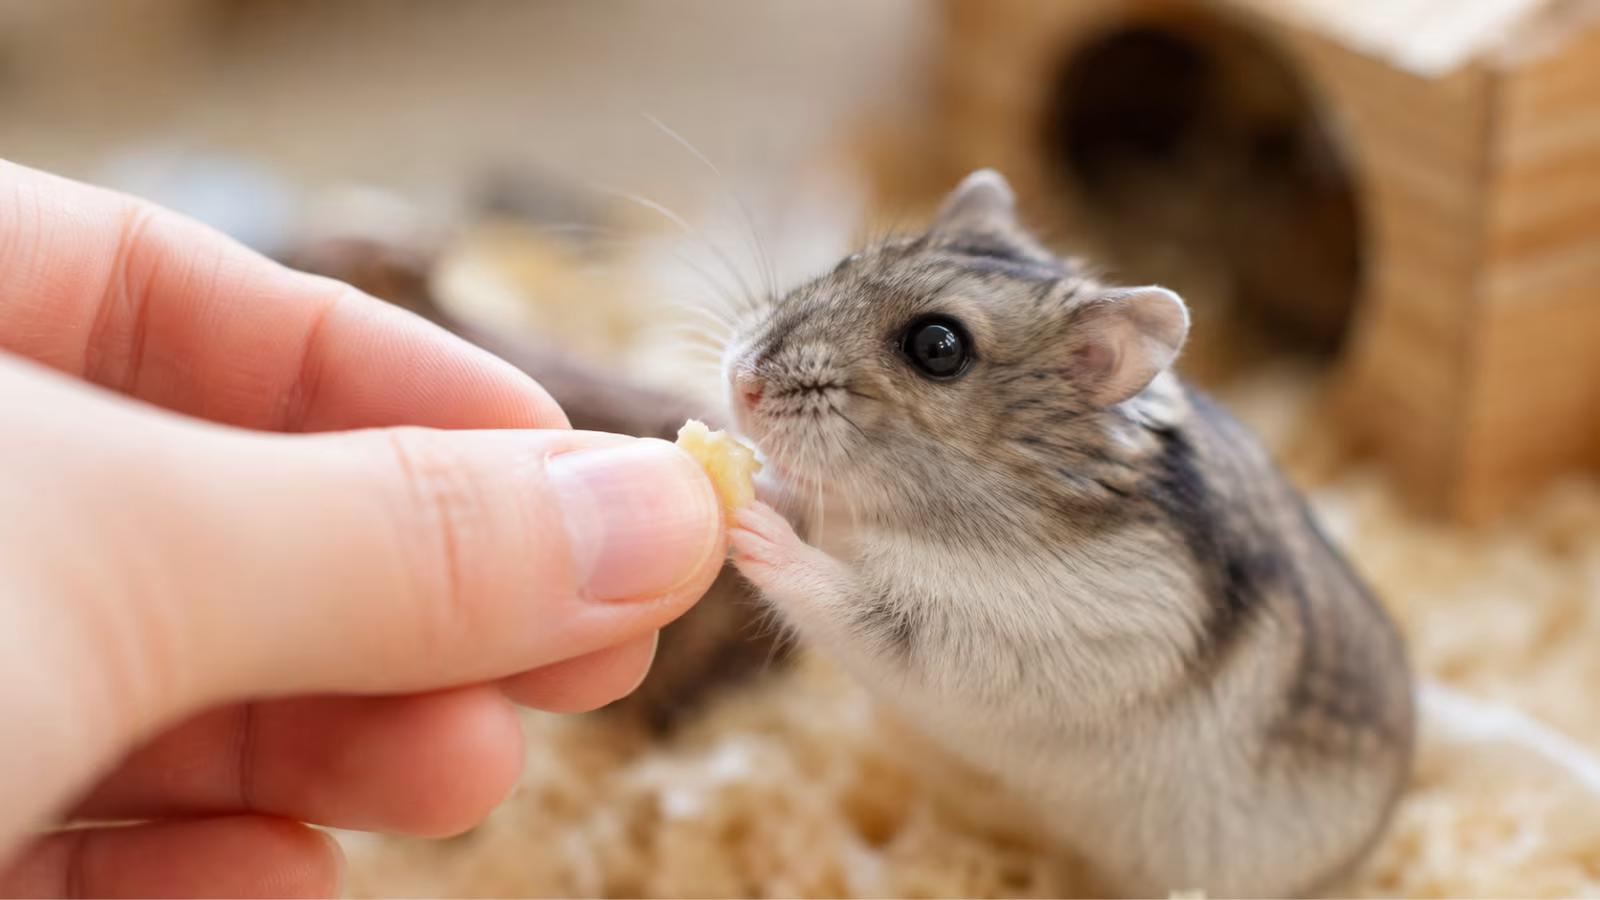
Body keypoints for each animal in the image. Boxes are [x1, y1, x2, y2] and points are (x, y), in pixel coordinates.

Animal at [722, 170, 1414, 897]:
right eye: (848, 260)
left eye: (937, 347)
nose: (741, 383)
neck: (907, 517)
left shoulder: (982, 640)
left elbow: (846, 603)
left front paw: (754, 522)